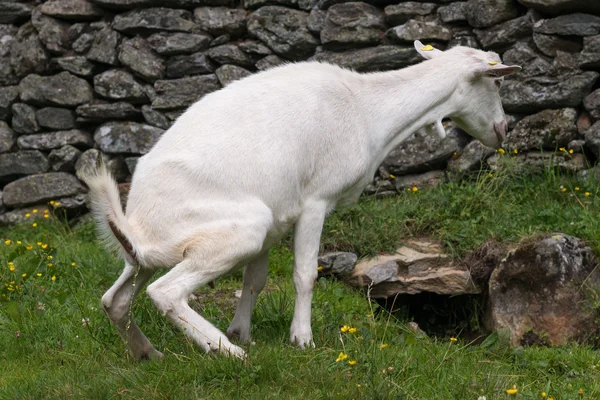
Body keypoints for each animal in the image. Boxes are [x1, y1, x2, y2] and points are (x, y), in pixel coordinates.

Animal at [82, 40, 516, 360]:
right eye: (496, 83)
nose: (503, 129)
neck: (367, 110)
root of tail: (135, 227)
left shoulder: (277, 216)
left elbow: (254, 280)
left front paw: (241, 331)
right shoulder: (315, 201)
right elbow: (305, 273)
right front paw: (300, 339)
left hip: (149, 258)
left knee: (112, 300)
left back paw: (148, 353)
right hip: (238, 227)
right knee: (166, 292)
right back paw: (226, 353)